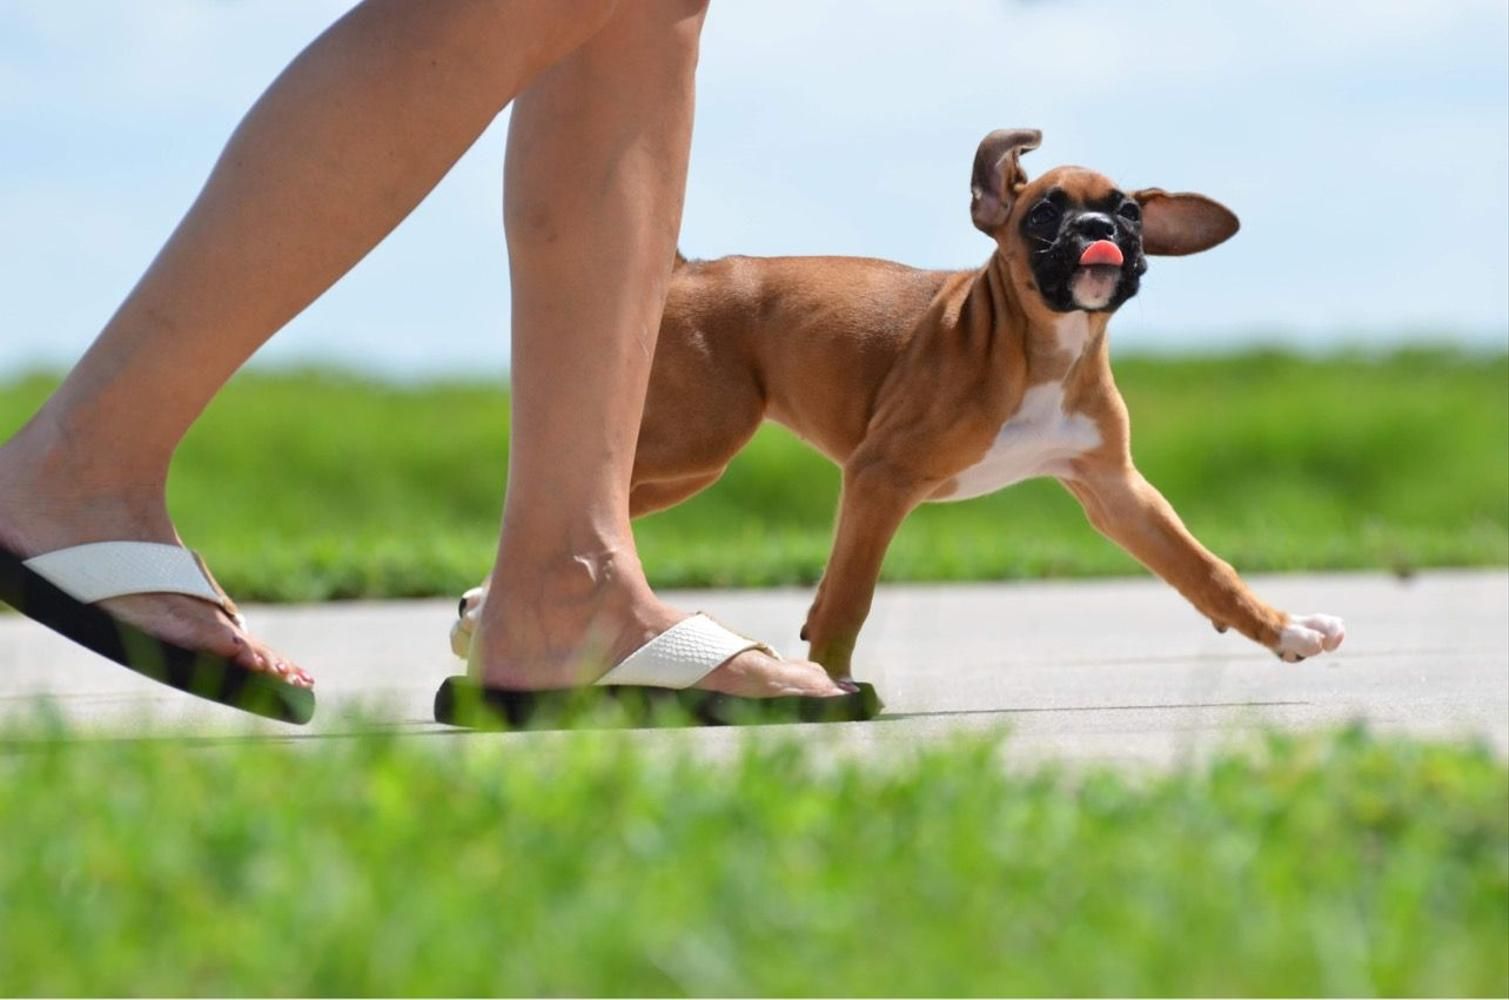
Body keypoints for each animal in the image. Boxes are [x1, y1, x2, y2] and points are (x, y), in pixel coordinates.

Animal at [455, 128, 1346, 681]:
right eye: (1044, 211)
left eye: (1129, 210)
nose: (1101, 228)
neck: (1042, 344)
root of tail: (687, 268)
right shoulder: (880, 477)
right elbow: (850, 594)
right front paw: (828, 687)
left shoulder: (1116, 492)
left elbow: (1203, 569)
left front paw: (1285, 630)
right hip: (696, 443)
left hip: (683, 459)